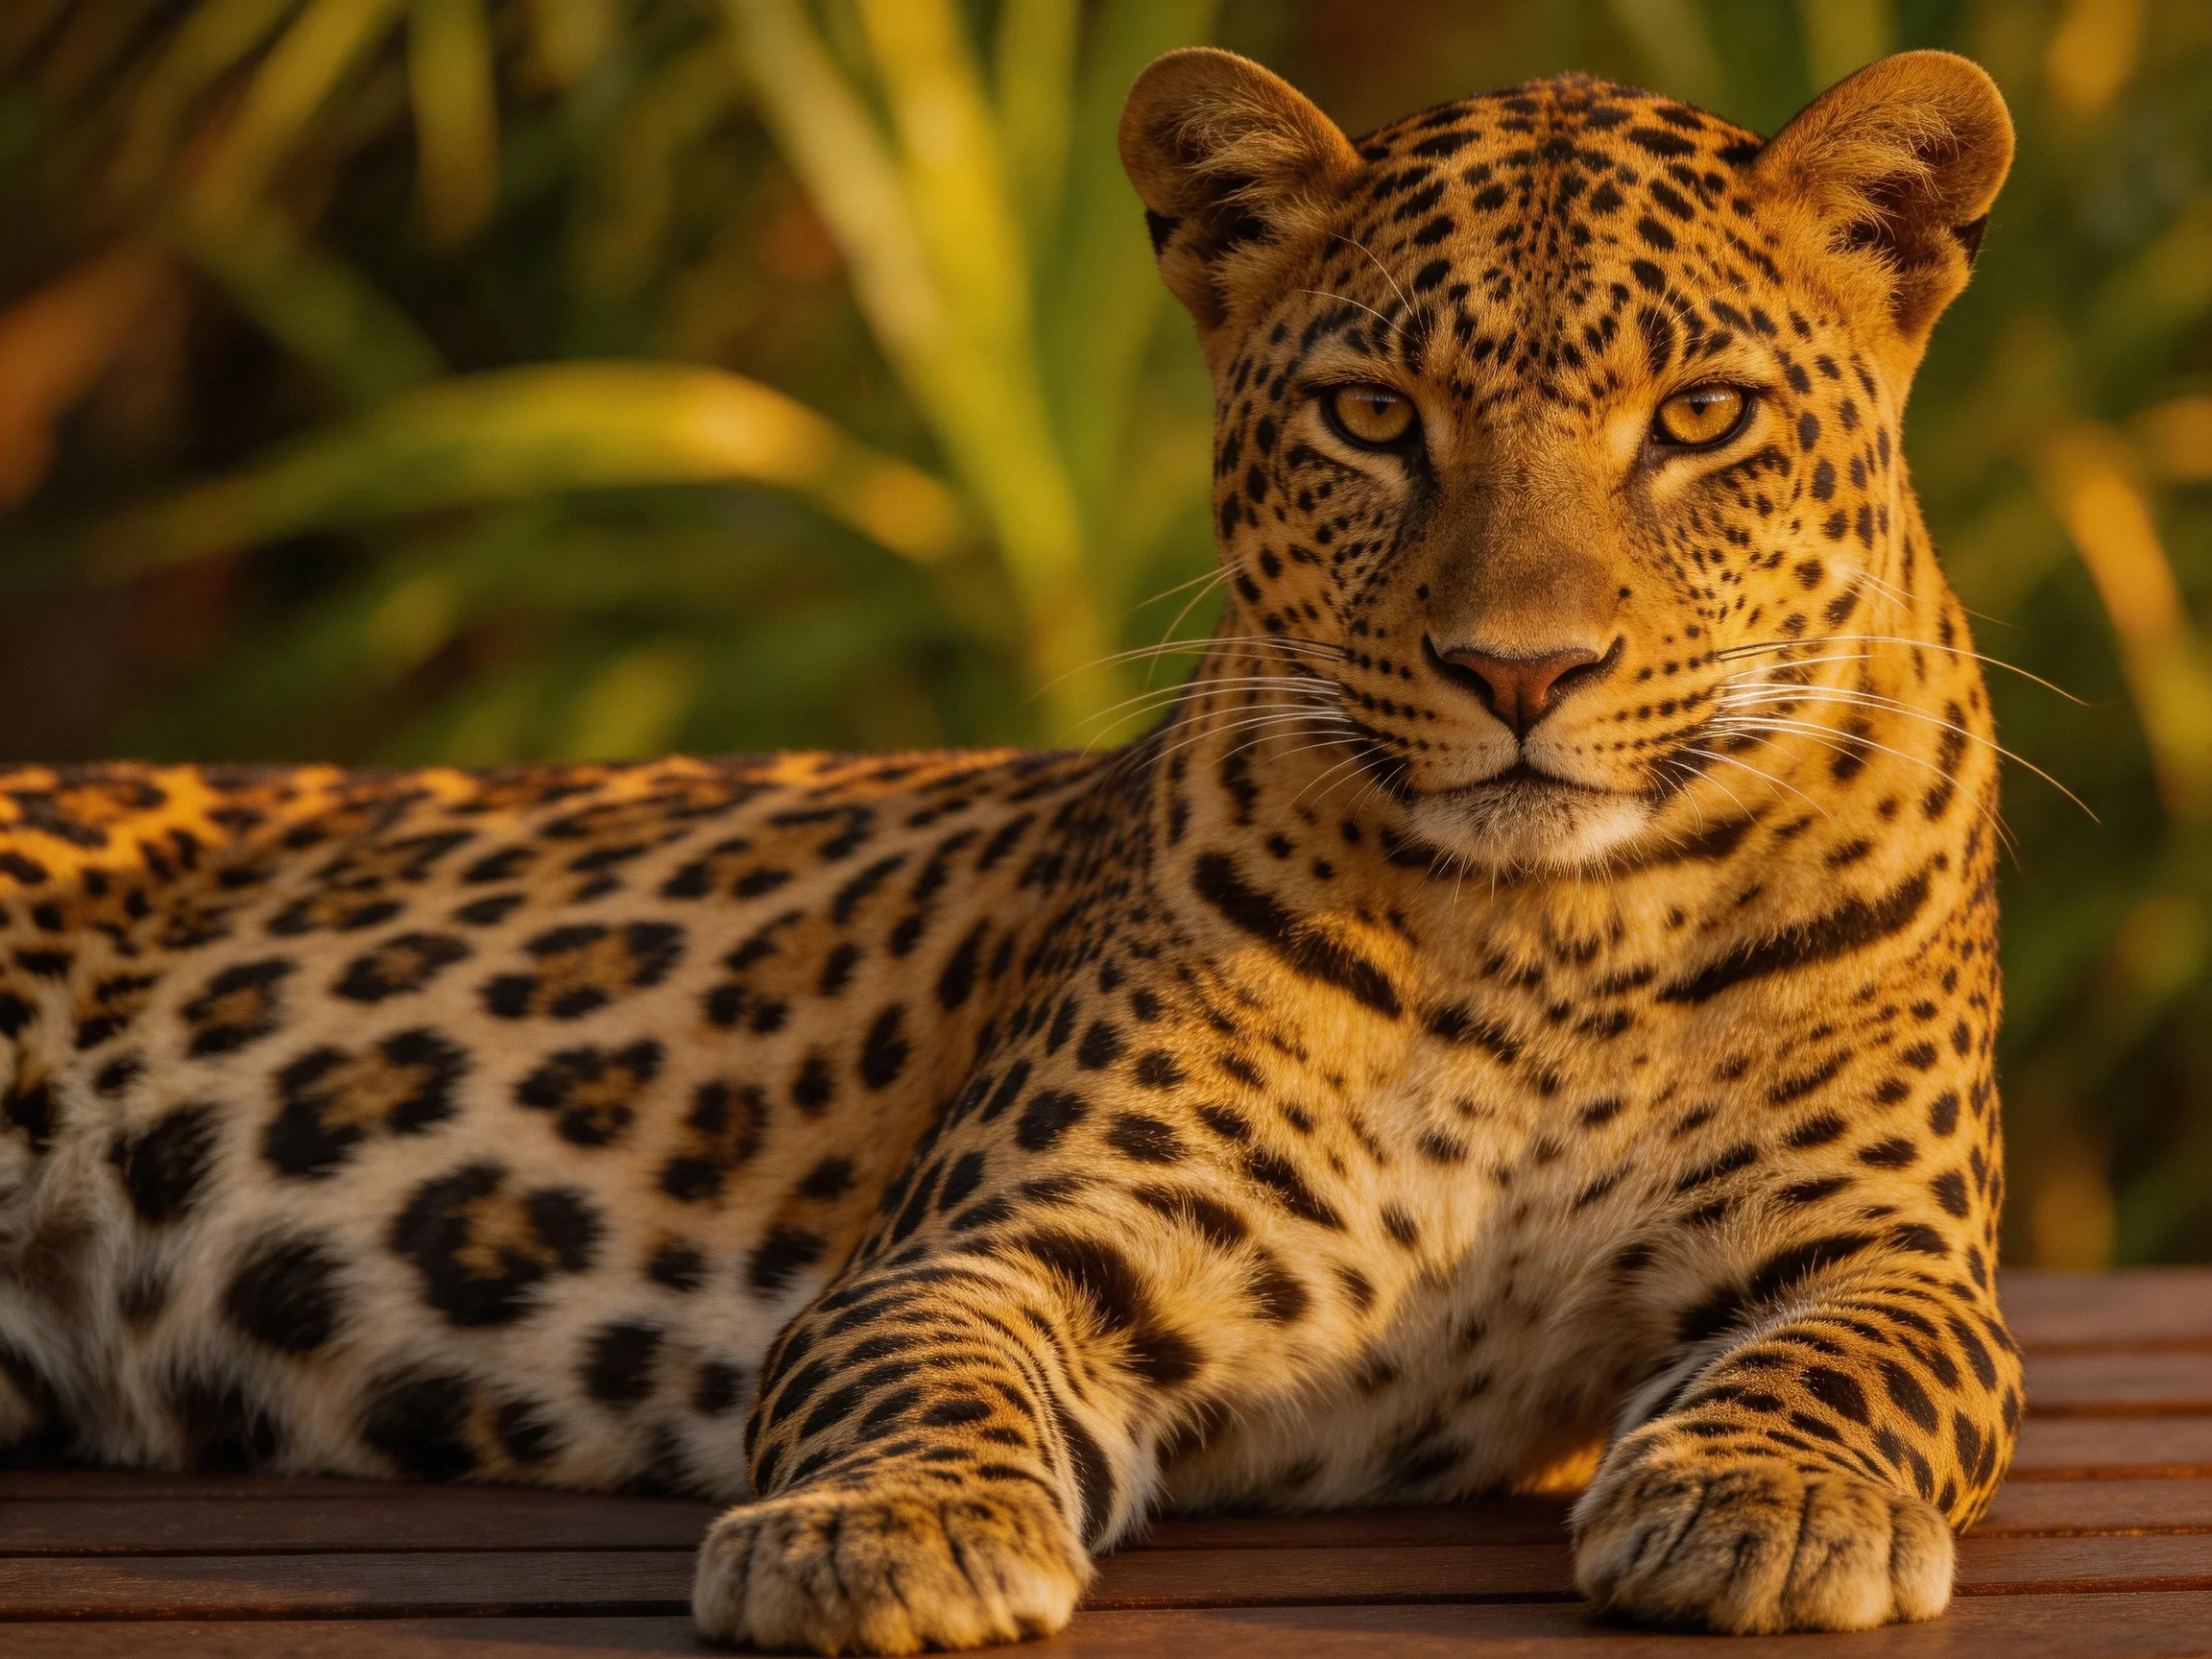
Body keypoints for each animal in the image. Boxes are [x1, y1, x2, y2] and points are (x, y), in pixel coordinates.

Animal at [0, 44, 2024, 1654]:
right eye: (1371, 417)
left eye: (1700, 419)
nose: (1515, 670)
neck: (1553, 937)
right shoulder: (1000, 1241)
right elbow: (923, 1372)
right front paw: (876, 1537)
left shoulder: (1887, 1251)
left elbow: (1845, 1356)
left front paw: (1761, 1504)